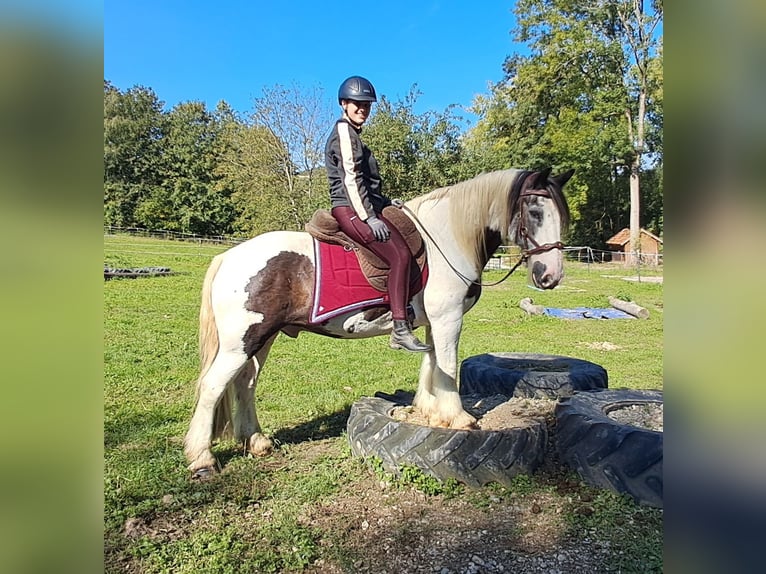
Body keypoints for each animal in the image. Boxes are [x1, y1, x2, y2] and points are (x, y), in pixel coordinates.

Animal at [184, 166, 568, 476]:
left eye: (560, 213)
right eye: (535, 211)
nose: (550, 276)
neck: (447, 240)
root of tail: (228, 257)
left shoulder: (432, 323)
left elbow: (430, 365)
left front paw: (429, 411)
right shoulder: (448, 319)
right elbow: (447, 366)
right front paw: (458, 418)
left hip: (263, 338)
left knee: (245, 385)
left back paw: (257, 441)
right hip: (242, 341)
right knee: (213, 386)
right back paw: (202, 458)